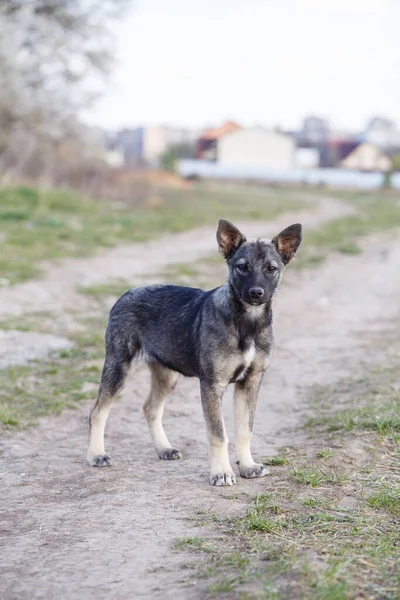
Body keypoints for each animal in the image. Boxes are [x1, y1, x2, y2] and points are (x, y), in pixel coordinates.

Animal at [86, 218, 300, 486]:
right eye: (242, 267)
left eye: (271, 269)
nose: (256, 293)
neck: (247, 324)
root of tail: (127, 293)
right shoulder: (212, 385)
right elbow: (218, 435)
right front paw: (221, 473)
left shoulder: (250, 382)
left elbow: (244, 431)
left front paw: (248, 466)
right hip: (119, 366)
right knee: (97, 411)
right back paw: (97, 454)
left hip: (166, 375)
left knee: (150, 408)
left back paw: (164, 448)